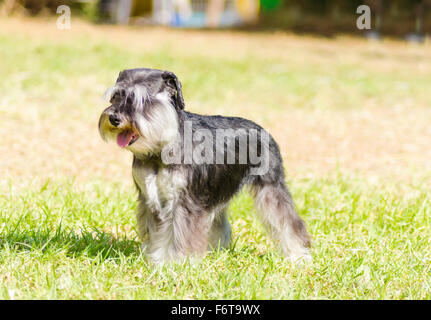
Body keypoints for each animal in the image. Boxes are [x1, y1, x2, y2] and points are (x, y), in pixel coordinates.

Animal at [99, 68, 312, 264]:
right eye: (116, 96)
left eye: (143, 99)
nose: (114, 118)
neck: (161, 147)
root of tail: (264, 131)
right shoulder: (150, 200)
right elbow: (156, 234)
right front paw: (154, 258)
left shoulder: (184, 202)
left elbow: (177, 235)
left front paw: (172, 263)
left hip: (270, 188)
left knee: (288, 222)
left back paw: (299, 255)